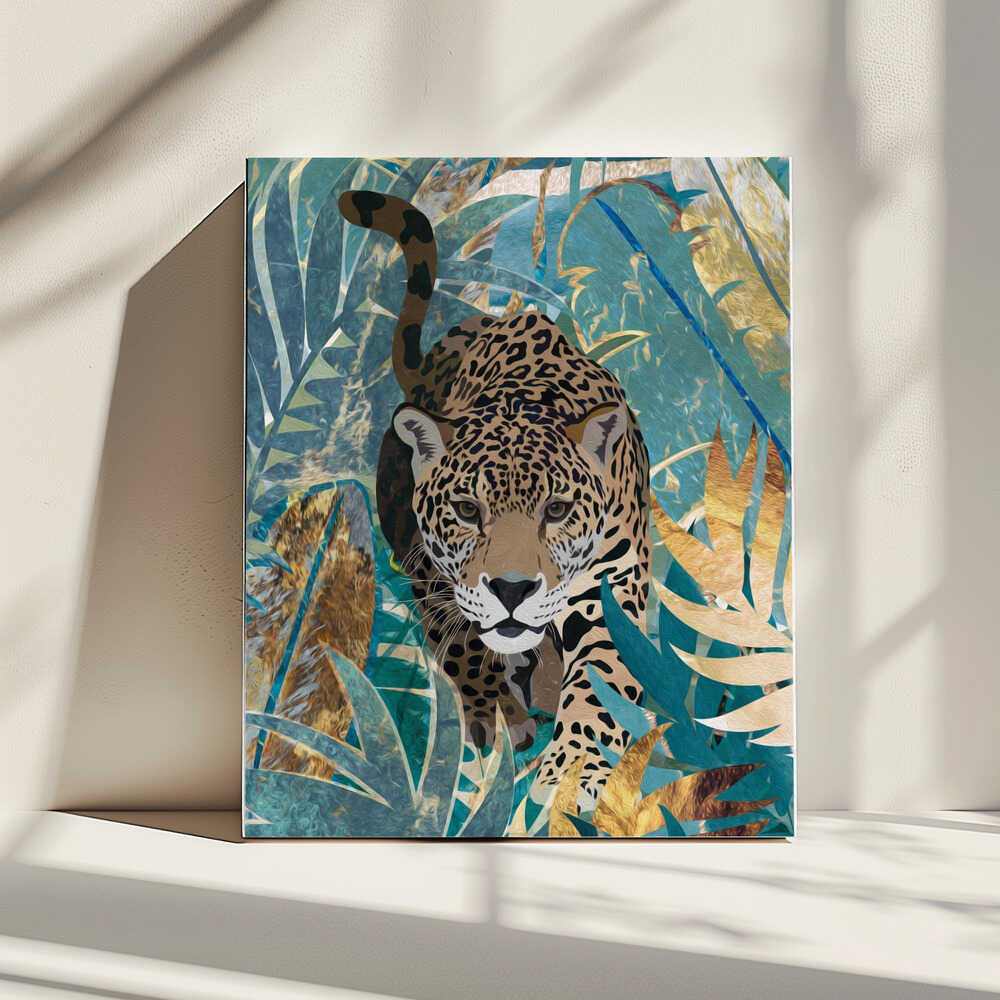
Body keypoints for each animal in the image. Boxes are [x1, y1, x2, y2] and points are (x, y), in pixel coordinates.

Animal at [339, 188, 651, 806]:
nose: (511, 589)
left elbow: (600, 685)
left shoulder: (610, 589)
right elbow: (462, 637)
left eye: (557, 511)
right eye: (466, 510)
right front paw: (495, 712)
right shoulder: (435, 568)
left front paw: (569, 773)